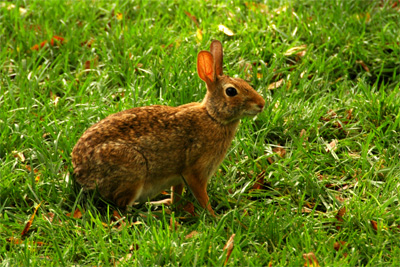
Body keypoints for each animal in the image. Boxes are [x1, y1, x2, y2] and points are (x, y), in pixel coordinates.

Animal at [71, 39, 266, 217]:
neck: (213, 117)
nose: (261, 104)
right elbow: (202, 197)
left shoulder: (178, 177)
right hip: (132, 170)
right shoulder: (195, 172)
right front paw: (214, 216)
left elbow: (177, 194)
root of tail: (81, 171)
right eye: (231, 91)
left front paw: (174, 206)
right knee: (123, 207)